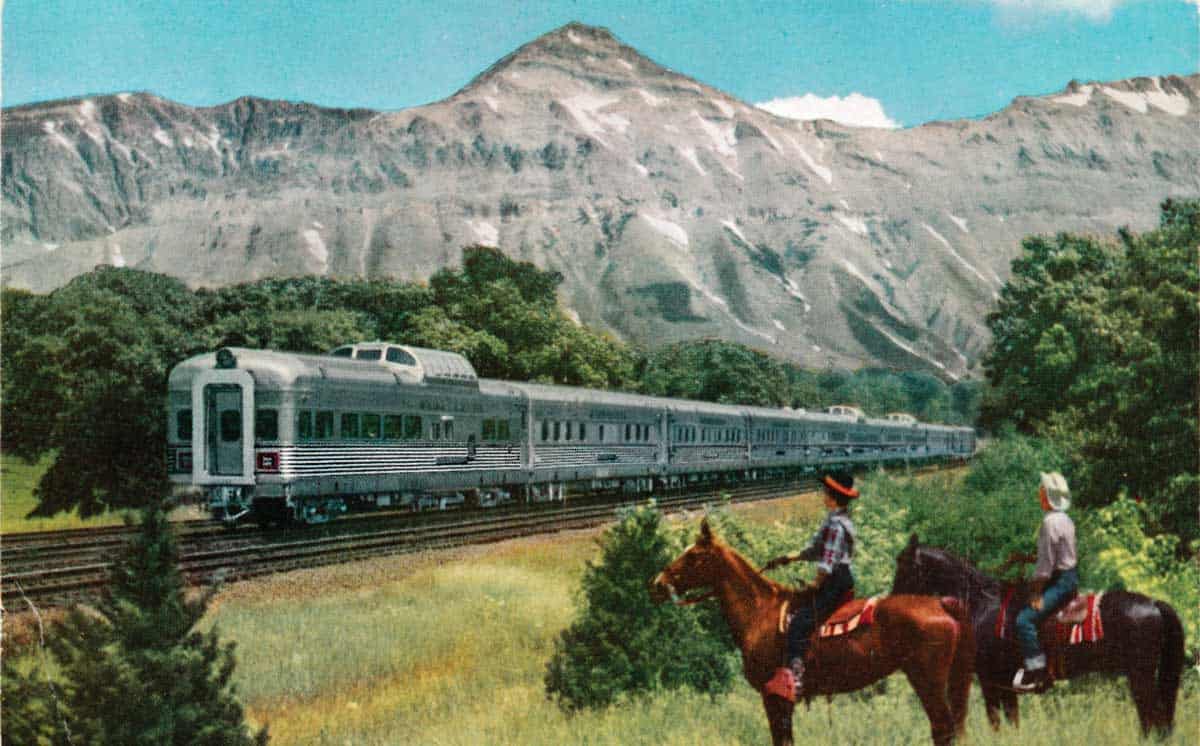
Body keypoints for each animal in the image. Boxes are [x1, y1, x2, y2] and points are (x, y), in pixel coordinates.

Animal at [648, 520, 974, 746]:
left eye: (693, 556)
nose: (657, 584)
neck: (760, 612)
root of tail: (941, 603)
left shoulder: (775, 697)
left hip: (927, 679)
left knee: (943, 729)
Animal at [892, 537, 1180, 738]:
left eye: (905, 567)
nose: (892, 599)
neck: (981, 606)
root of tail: (1153, 603)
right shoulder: (1004, 683)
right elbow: (1011, 721)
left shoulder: (990, 679)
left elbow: (997, 722)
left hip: (1140, 675)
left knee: (1153, 718)